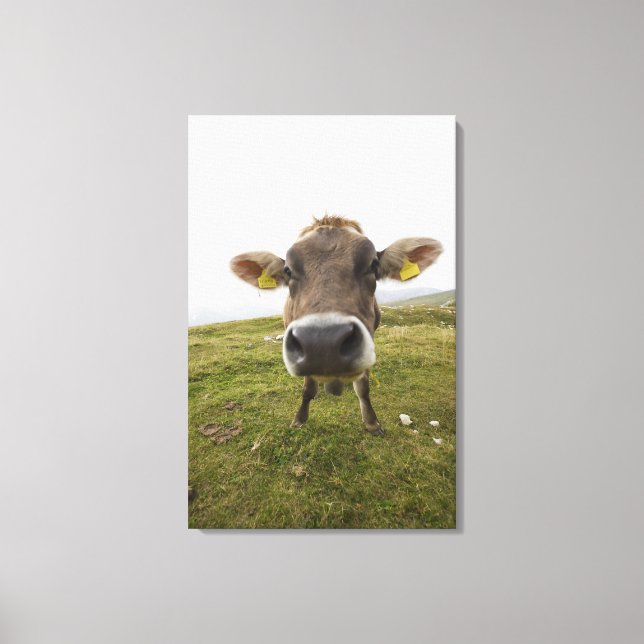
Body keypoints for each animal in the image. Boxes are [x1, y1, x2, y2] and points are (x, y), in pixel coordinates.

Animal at [230, 215, 443, 436]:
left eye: (373, 265)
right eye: (288, 270)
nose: (323, 342)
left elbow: (363, 387)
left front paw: (372, 423)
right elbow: (308, 388)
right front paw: (299, 420)